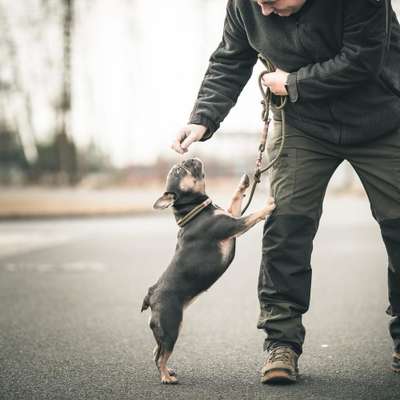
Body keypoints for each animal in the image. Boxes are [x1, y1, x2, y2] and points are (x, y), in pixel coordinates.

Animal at [141, 157, 276, 384]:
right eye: (179, 170)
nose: (189, 157)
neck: (196, 210)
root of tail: (151, 295)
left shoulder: (231, 216)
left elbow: (236, 200)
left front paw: (243, 184)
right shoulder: (234, 226)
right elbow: (251, 216)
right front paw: (268, 206)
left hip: (166, 329)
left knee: (155, 352)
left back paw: (168, 371)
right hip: (171, 326)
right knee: (161, 355)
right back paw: (166, 377)